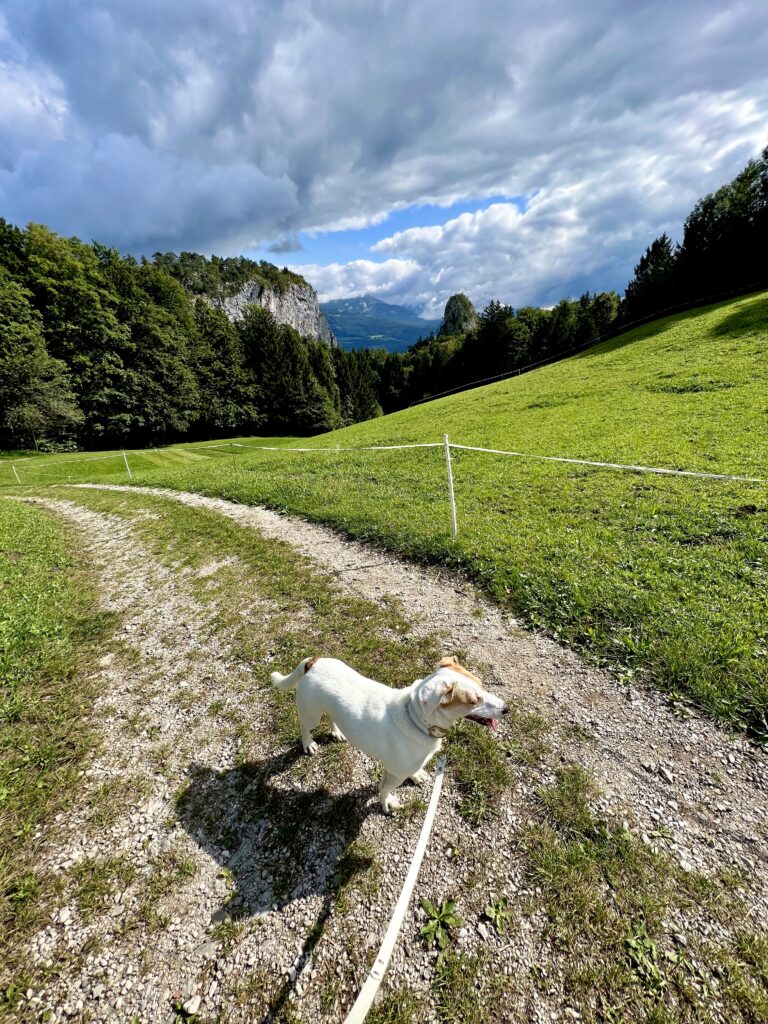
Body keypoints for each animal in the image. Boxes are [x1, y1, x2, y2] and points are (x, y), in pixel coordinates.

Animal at [272, 655, 512, 815]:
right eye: (474, 700)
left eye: (482, 685)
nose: (506, 709)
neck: (415, 718)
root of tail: (312, 663)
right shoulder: (395, 774)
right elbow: (384, 789)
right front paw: (387, 803)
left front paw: (417, 775)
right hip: (310, 714)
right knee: (304, 726)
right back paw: (308, 743)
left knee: (332, 717)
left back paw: (337, 732)